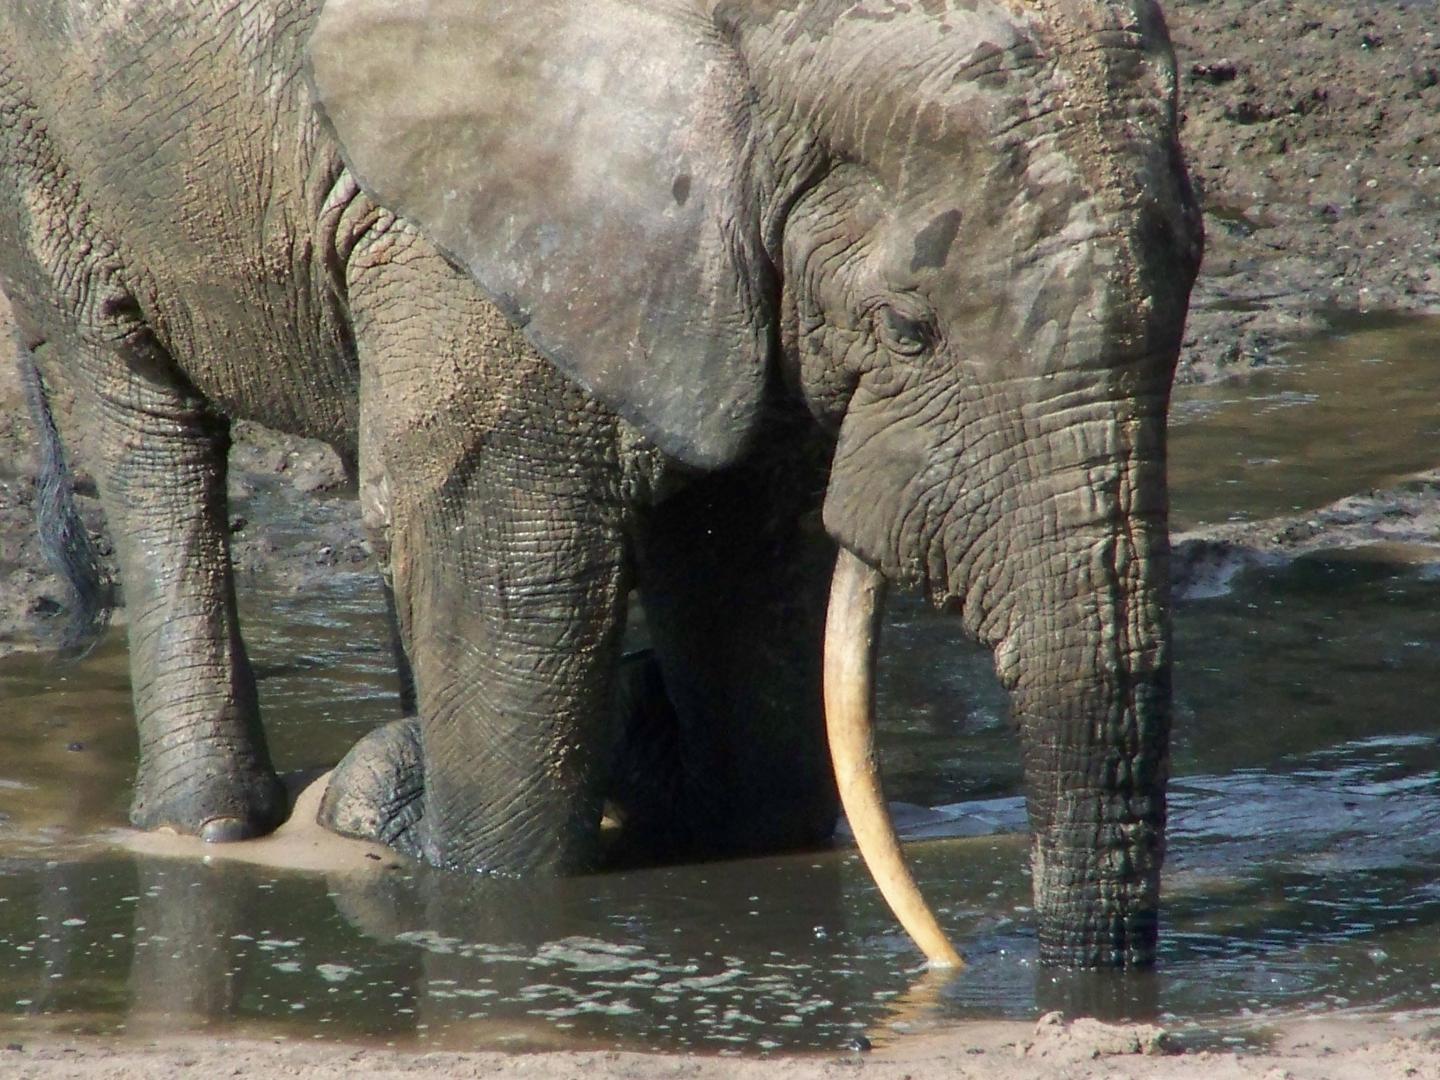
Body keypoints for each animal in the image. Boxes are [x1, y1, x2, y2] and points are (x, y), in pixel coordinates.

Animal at [0, 0, 1201, 969]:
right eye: (909, 329)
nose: (1006, 970)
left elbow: (744, 564)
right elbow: (506, 549)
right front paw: (458, 861)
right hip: (50, 133)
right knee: (139, 412)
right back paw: (215, 822)